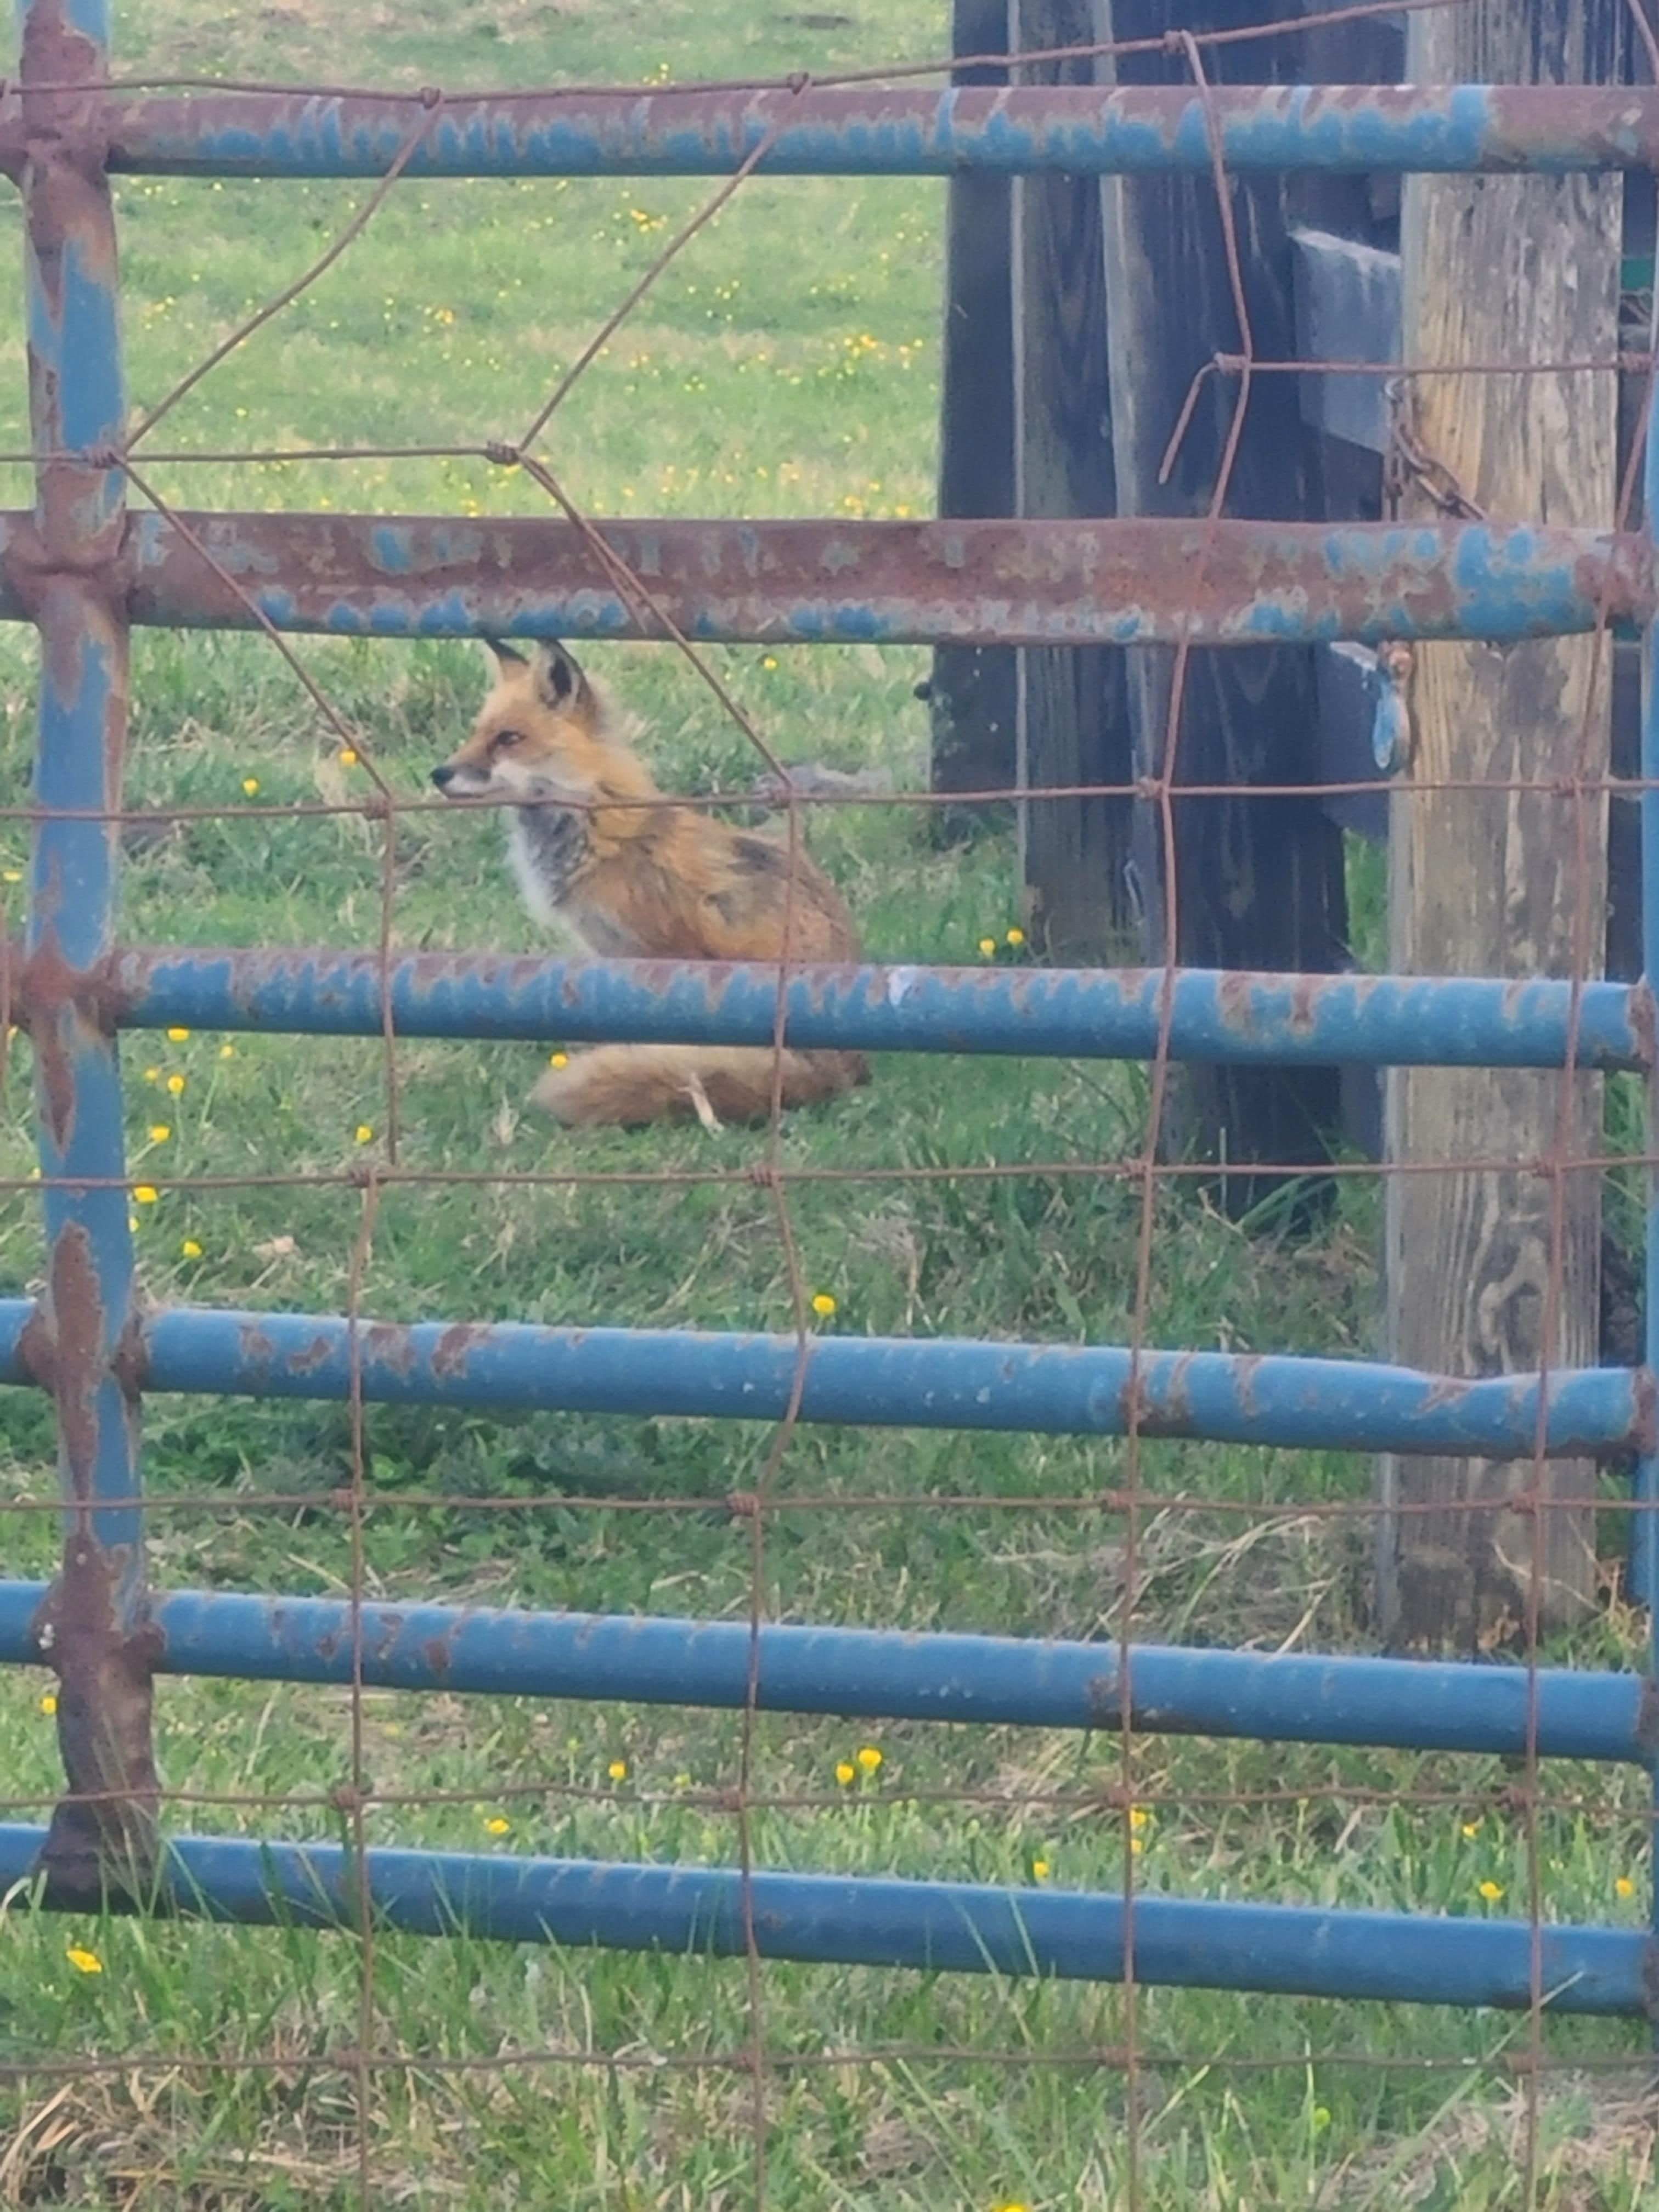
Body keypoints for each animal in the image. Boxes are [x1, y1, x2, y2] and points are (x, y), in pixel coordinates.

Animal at [431, 638, 868, 1128]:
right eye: (476, 734)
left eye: (508, 739)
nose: (439, 774)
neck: (597, 833)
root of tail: (843, 1070)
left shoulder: (671, 955)